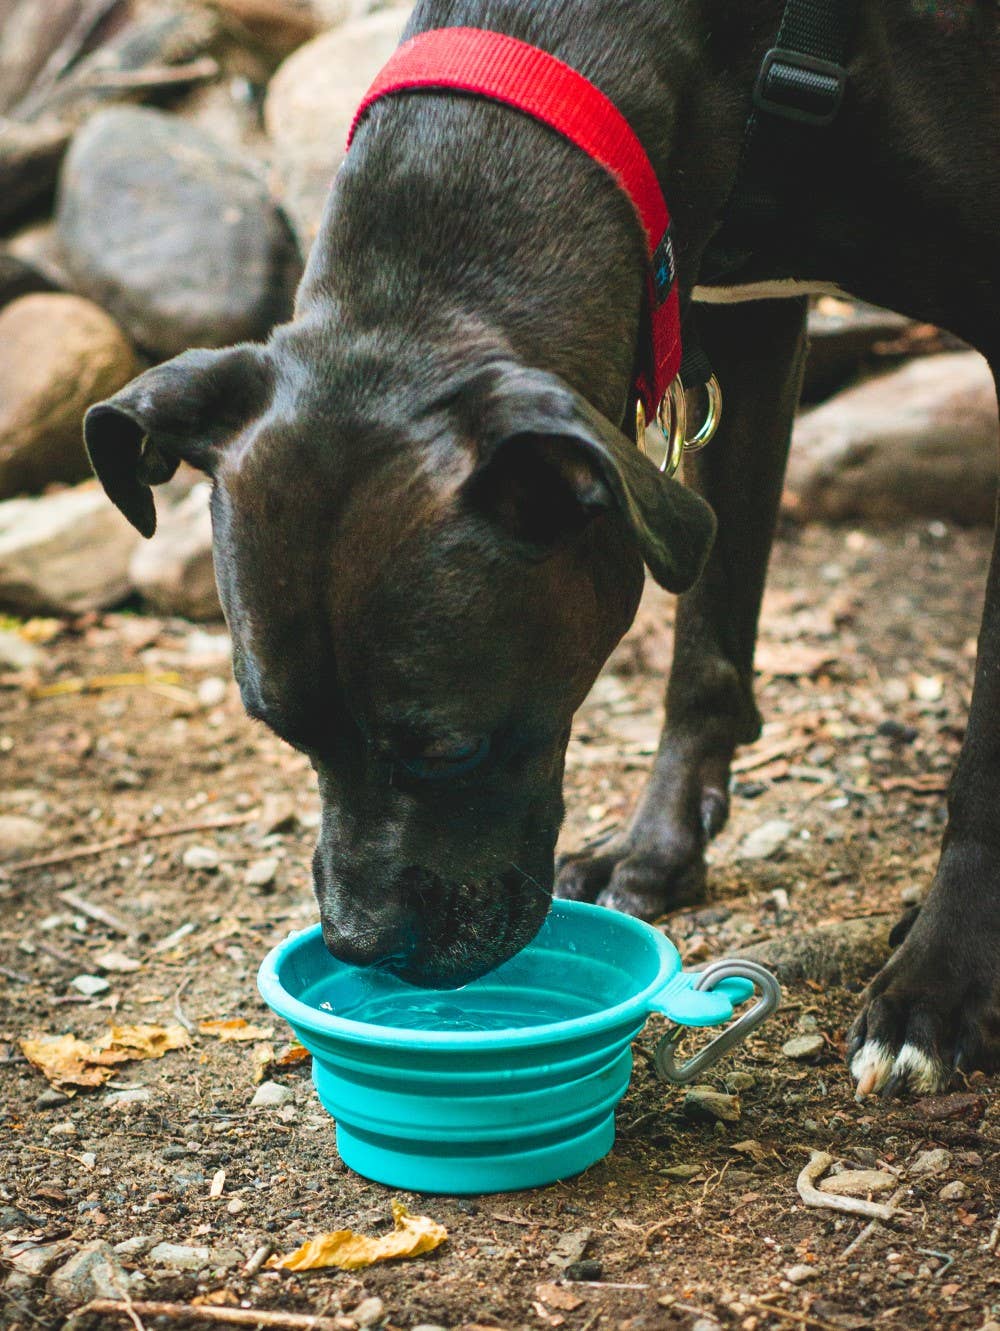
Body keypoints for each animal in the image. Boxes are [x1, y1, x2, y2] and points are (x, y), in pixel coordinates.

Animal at [85, 0, 1000, 1096]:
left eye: (448, 748)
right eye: (281, 731)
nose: (354, 943)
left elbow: (988, 741)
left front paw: (940, 978)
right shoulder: (739, 326)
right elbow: (706, 637)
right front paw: (655, 846)